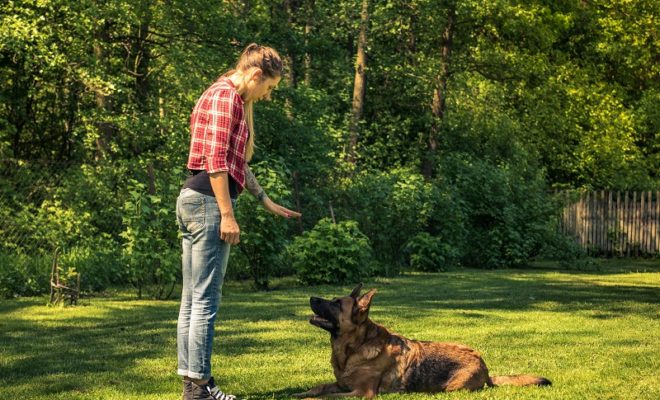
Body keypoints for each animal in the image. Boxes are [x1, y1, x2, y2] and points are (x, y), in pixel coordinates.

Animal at [296, 282, 552, 398]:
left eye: (337, 303)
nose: (311, 297)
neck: (354, 348)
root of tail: (485, 367)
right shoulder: (342, 384)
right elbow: (320, 388)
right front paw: (303, 392)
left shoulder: (361, 393)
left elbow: (326, 398)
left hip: (451, 388)